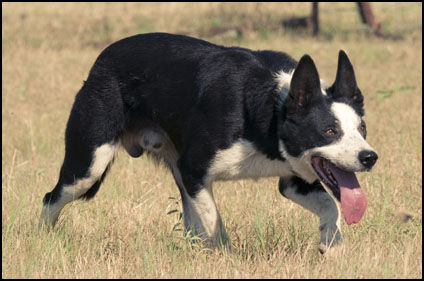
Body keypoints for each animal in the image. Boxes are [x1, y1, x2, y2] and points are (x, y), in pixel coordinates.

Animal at [39, 32, 378, 252]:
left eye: (362, 128)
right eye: (329, 131)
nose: (369, 157)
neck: (270, 105)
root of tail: (102, 59)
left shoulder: (294, 180)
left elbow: (330, 207)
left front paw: (330, 245)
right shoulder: (195, 171)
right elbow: (215, 223)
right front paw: (225, 257)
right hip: (88, 165)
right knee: (51, 198)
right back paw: (43, 240)